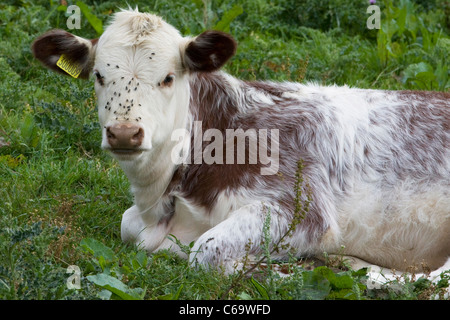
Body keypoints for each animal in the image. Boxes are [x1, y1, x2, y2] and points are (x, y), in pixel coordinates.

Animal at [33, 9, 448, 280]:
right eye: (99, 76)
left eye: (168, 77)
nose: (123, 132)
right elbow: (129, 226)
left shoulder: (303, 208)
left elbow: (206, 251)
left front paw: (282, 268)